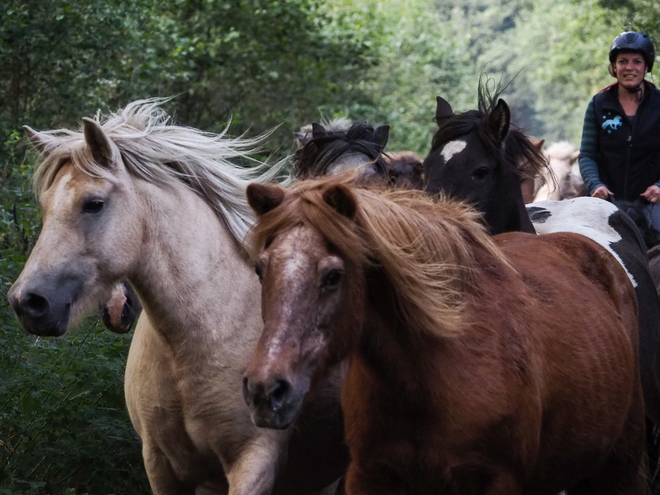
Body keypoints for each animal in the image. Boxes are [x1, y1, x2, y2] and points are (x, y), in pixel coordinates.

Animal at [242, 175, 644, 495]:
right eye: (261, 268)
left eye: (332, 276)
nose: (266, 390)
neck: (427, 378)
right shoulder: (370, 476)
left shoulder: (496, 481)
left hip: (619, 465)